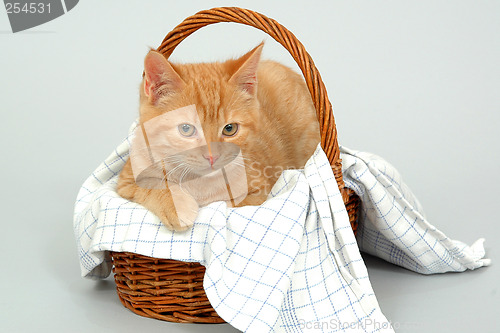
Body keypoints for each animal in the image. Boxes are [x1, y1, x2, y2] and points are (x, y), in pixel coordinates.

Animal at [116, 42, 320, 230]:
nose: (212, 156)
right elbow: (150, 185)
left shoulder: (261, 193)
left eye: (230, 129)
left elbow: (228, 204)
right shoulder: (125, 181)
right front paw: (177, 206)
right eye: (186, 129)